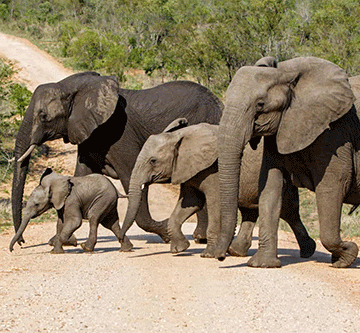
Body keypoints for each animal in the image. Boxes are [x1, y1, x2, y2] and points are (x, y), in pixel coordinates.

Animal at [11, 71, 222, 245]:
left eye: (43, 116)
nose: (22, 242)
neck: (71, 86)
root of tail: (219, 101)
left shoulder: (120, 134)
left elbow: (130, 178)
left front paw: (166, 234)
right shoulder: (88, 135)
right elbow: (80, 177)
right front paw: (62, 241)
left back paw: (200, 238)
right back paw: (200, 238)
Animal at [119, 118, 316, 258]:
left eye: (153, 161)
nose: (124, 246)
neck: (180, 136)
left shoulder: (213, 170)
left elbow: (214, 203)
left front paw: (208, 255)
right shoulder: (188, 170)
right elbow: (190, 203)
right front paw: (179, 249)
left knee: (288, 211)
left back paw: (308, 251)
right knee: (250, 210)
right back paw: (235, 252)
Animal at [215, 54, 358, 268]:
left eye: (260, 104)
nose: (220, 257)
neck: (285, 72)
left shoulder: (334, 133)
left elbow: (332, 185)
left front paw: (346, 256)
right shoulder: (279, 129)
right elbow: (269, 185)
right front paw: (263, 264)